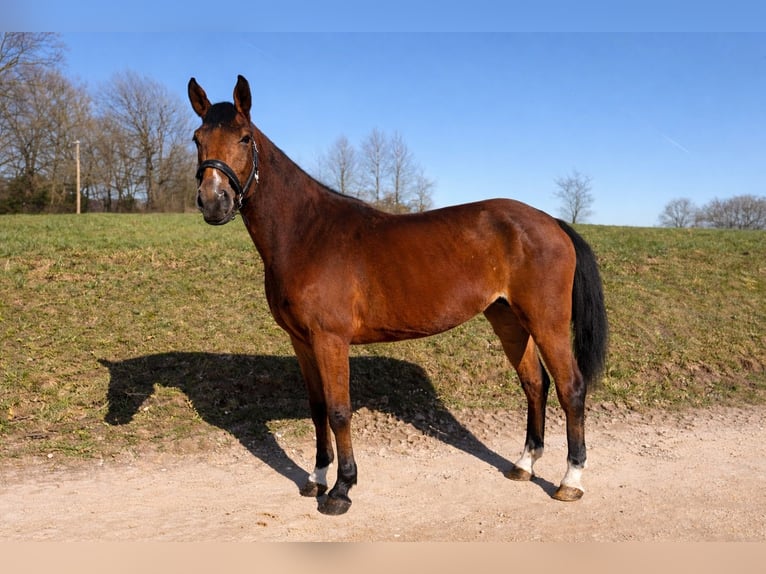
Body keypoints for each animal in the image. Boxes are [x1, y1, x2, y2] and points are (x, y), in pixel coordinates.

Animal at [188, 75, 608, 516]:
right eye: (197, 138)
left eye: (245, 138)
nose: (214, 201)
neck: (307, 233)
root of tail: (552, 222)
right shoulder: (301, 342)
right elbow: (318, 409)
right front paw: (316, 479)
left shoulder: (330, 340)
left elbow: (338, 411)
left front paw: (341, 489)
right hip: (508, 318)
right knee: (534, 383)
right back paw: (524, 464)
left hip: (547, 322)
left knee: (570, 387)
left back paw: (570, 480)